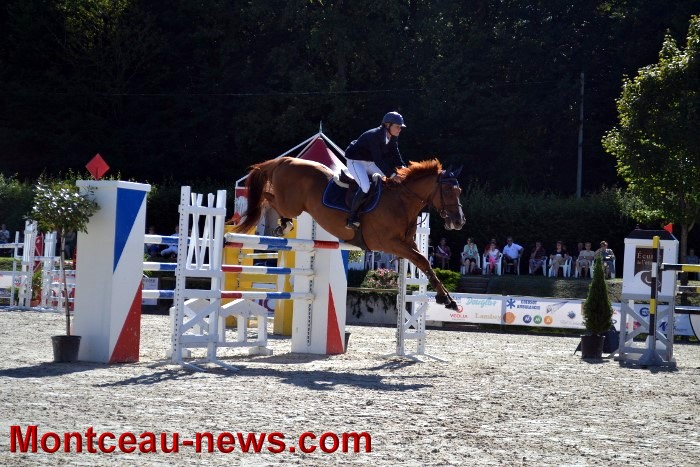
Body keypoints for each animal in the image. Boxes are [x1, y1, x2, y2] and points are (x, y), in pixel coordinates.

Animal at [232, 157, 465, 309]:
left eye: (459, 191)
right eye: (448, 190)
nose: (459, 221)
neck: (402, 201)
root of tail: (285, 160)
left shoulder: (408, 244)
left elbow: (425, 264)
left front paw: (448, 300)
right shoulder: (390, 243)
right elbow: (423, 261)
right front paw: (446, 299)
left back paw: (282, 224)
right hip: (291, 204)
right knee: (267, 198)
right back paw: (277, 222)